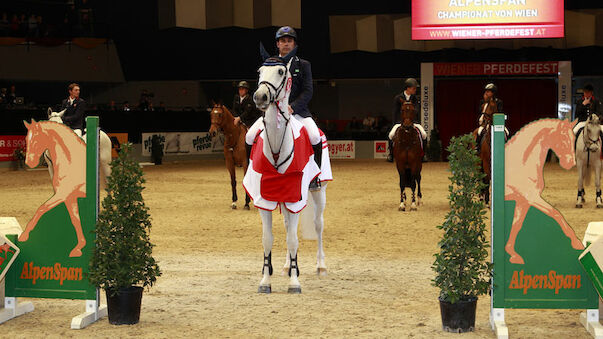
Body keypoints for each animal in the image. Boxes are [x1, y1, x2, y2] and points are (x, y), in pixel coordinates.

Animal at [244, 47, 324, 294]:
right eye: (259, 71)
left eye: (281, 71)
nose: (260, 97)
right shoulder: (264, 199)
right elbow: (268, 239)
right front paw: (265, 280)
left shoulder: (294, 198)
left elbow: (293, 240)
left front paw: (294, 283)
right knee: (289, 227)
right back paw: (287, 266)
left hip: (319, 193)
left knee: (318, 225)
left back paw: (320, 266)